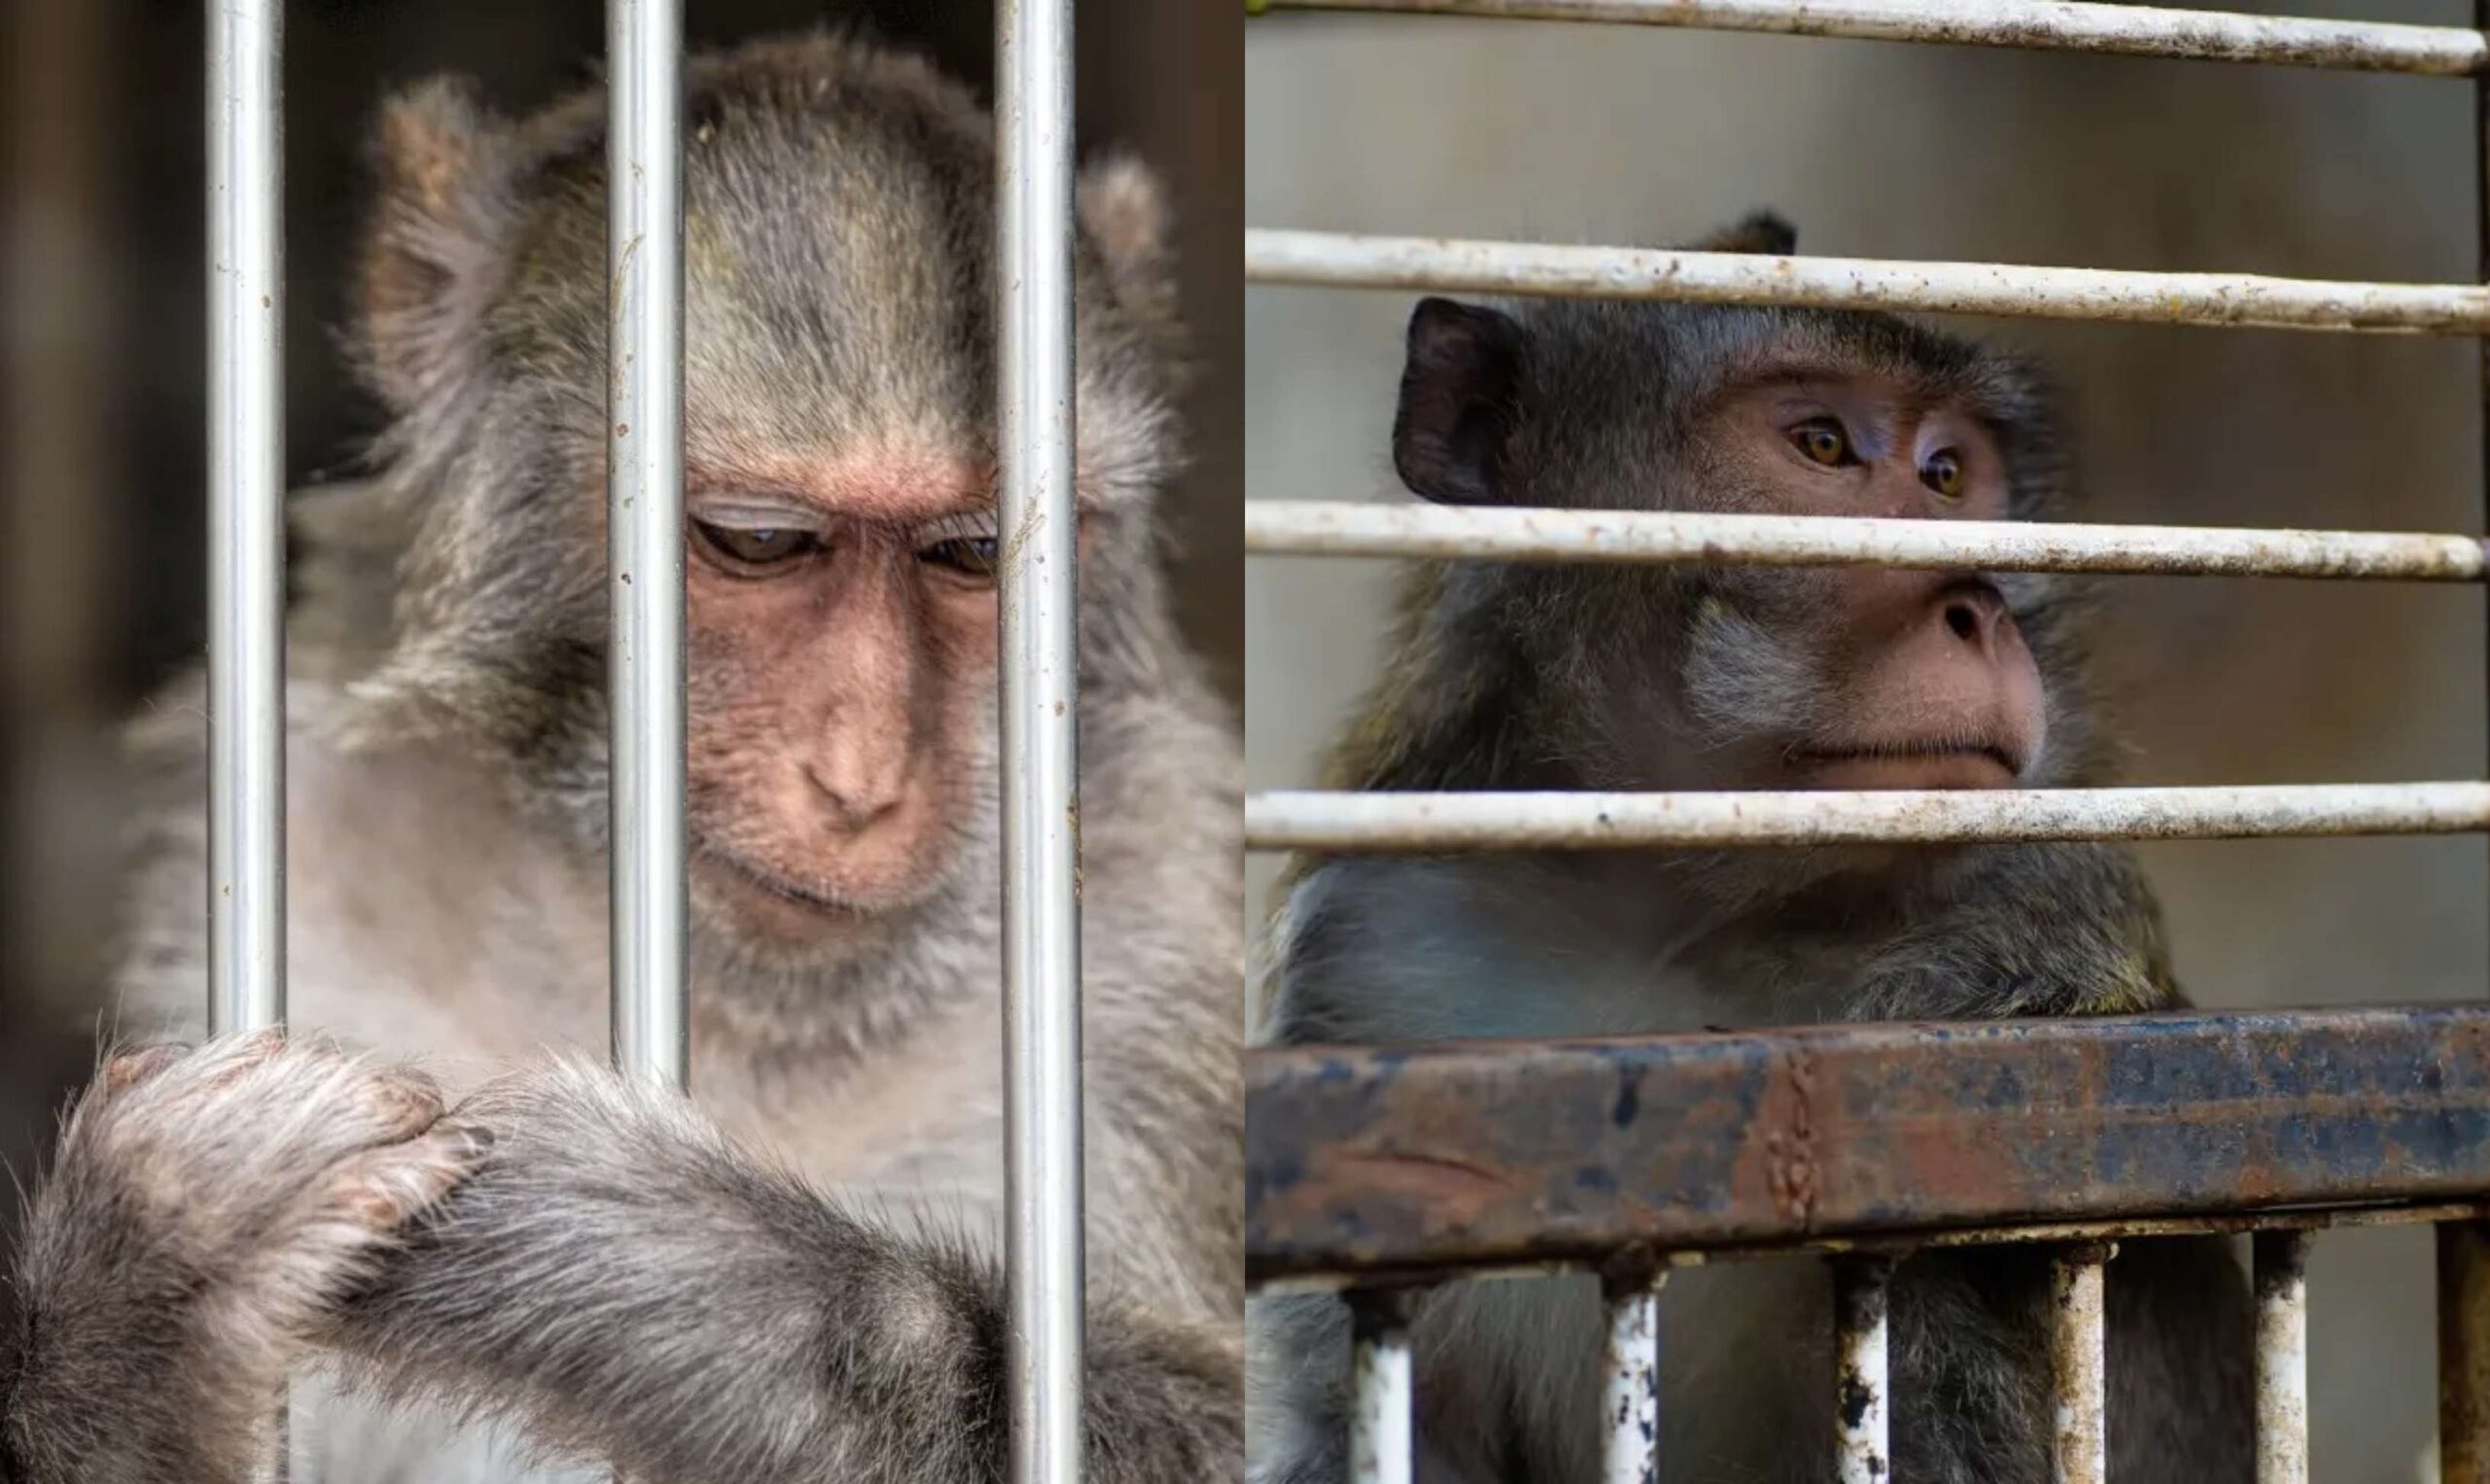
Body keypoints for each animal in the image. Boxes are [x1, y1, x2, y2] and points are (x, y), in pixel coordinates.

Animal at [0, 33, 1240, 1484]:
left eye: (975, 553)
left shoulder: (1169, 936)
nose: (863, 777)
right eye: (758, 540)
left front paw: (668, 1272)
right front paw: (147, 1286)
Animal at [1243, 214, 2255, 1484]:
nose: (1976, 601)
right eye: (1822, 444)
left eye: (1948, 474)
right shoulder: (1377, 947)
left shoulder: (2022, 957)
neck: (1684, 915)